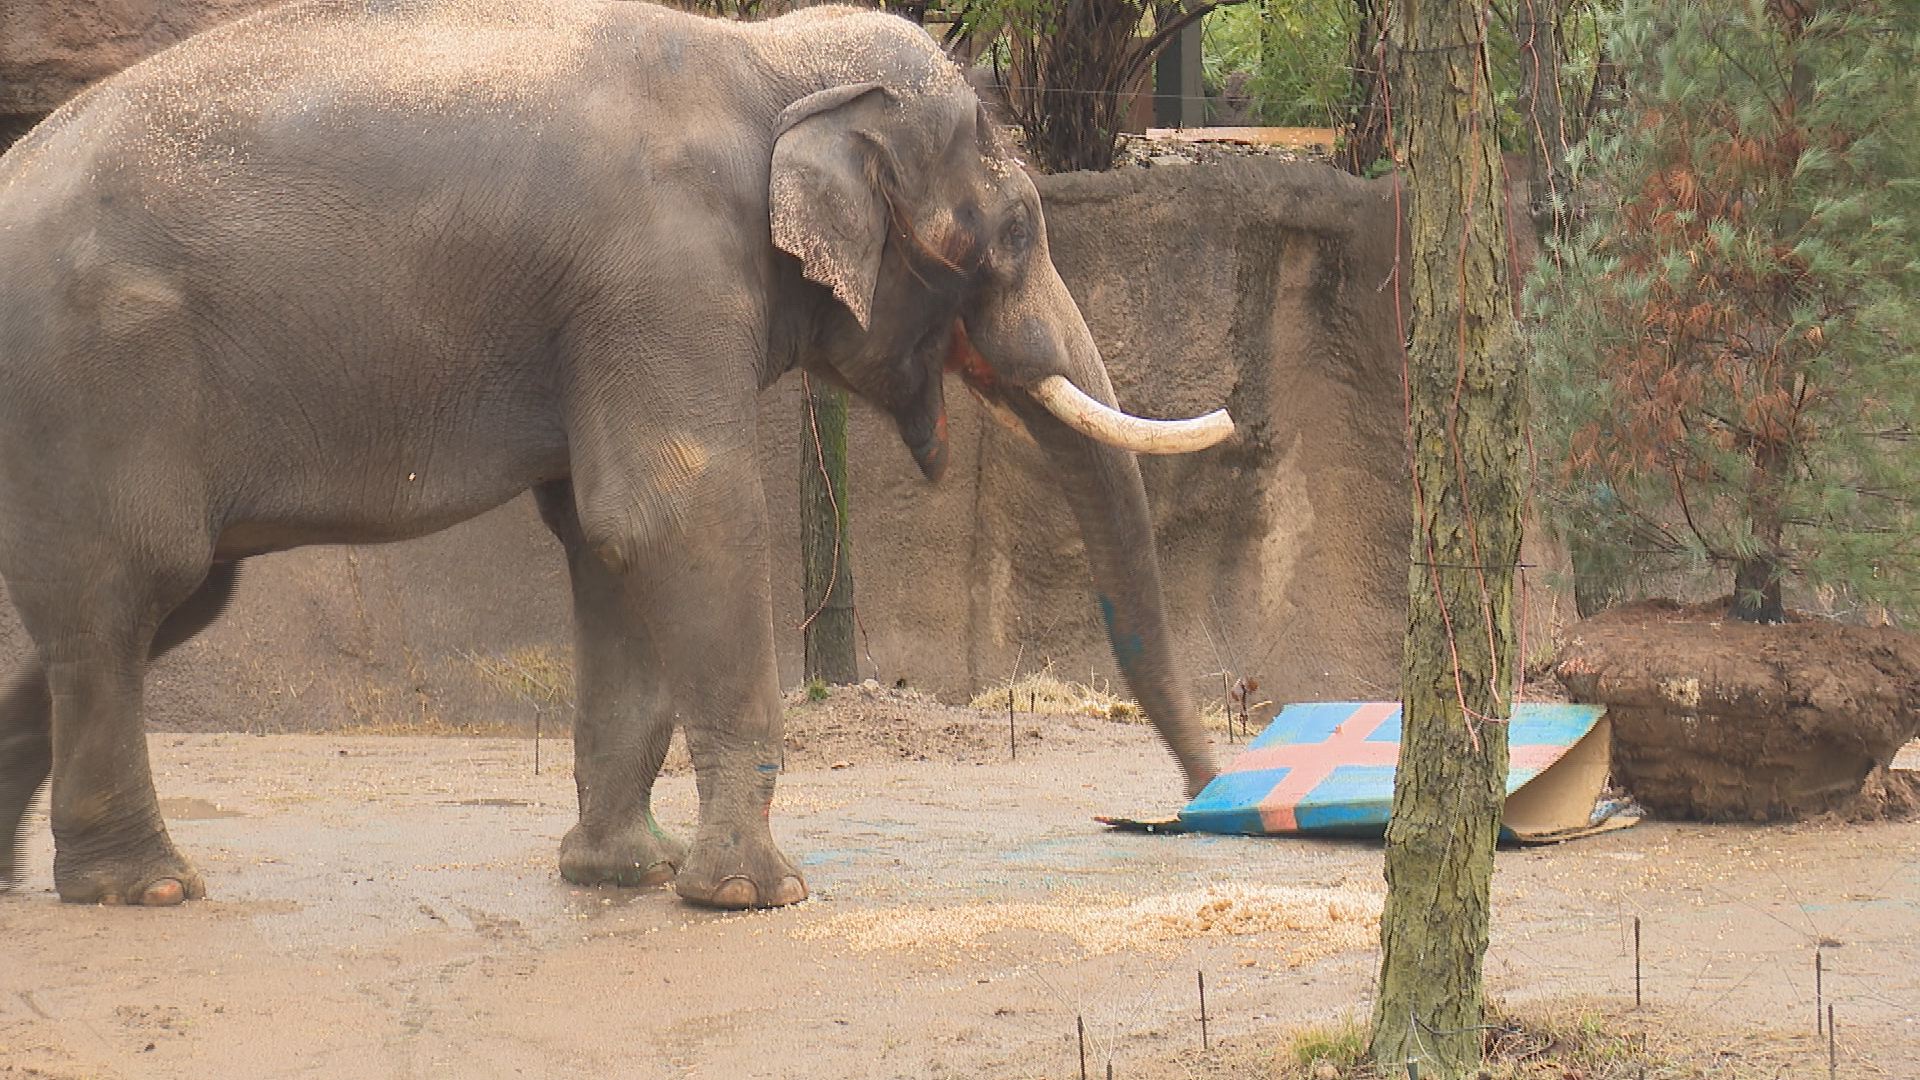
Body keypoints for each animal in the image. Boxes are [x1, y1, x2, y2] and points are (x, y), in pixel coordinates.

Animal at [0, 0, 1228, 907]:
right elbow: (680, 511)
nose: (1208, 808)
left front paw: (624, 874)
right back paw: (146, 888)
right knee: (135, 588)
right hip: (93, 375)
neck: (770, 58)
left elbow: (605, 535)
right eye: (1013, 234)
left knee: (142, 606)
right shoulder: (661, 269)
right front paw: (753, 897)